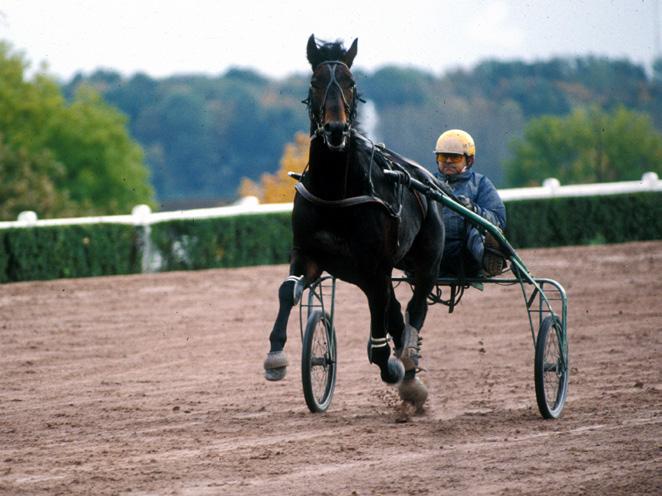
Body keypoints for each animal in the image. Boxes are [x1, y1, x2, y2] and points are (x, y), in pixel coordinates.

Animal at [264, 34, 446, 406]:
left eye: (350, 82)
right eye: (315, 82)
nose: (335, 129)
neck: (336, 192)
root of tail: (428, 183)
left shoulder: (376, 266)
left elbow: (383, 329)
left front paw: (391, 365)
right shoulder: (309, 253)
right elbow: (287, 290)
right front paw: (275, 356)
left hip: (427, 259)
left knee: (415, 309)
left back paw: (408, 366)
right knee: (395, 313)